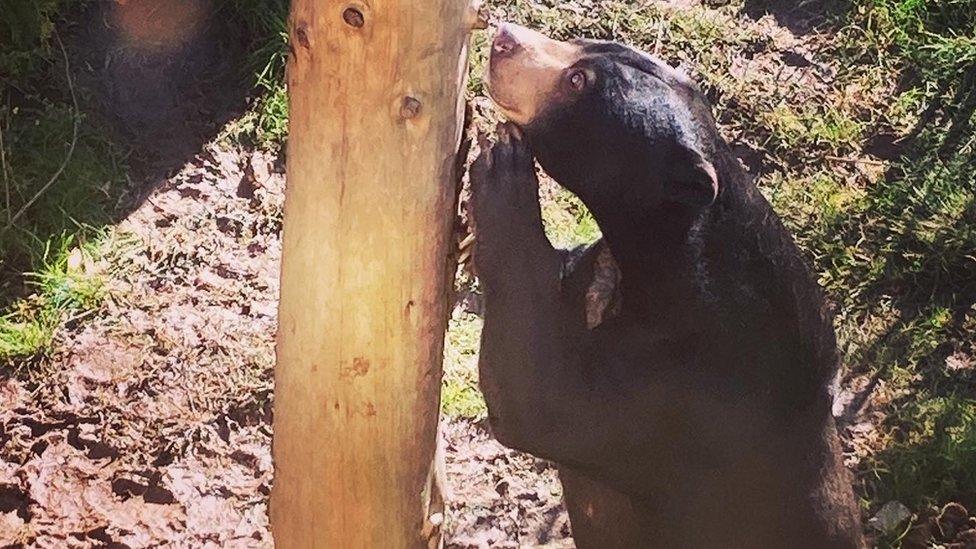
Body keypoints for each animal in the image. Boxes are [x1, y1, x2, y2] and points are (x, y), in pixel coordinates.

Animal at [470, 23, 860, 544]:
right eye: (584, 45)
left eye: (577, 81)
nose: (503, 37)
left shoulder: (684, 391)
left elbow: (539, 400)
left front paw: (501, 163)